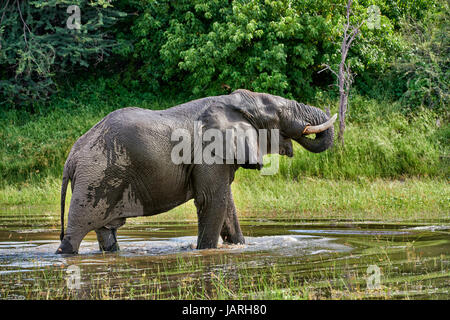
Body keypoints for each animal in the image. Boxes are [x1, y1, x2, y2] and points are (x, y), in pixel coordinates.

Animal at [55, 89, 334, 254]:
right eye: (278, 114)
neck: (231, 102)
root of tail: (72, 157)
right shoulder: (208, 152)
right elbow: (212, 201)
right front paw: (205, 252)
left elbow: (227, 204)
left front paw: (240, 247)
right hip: (95, 175)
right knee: (75, 231)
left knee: (105, 230)